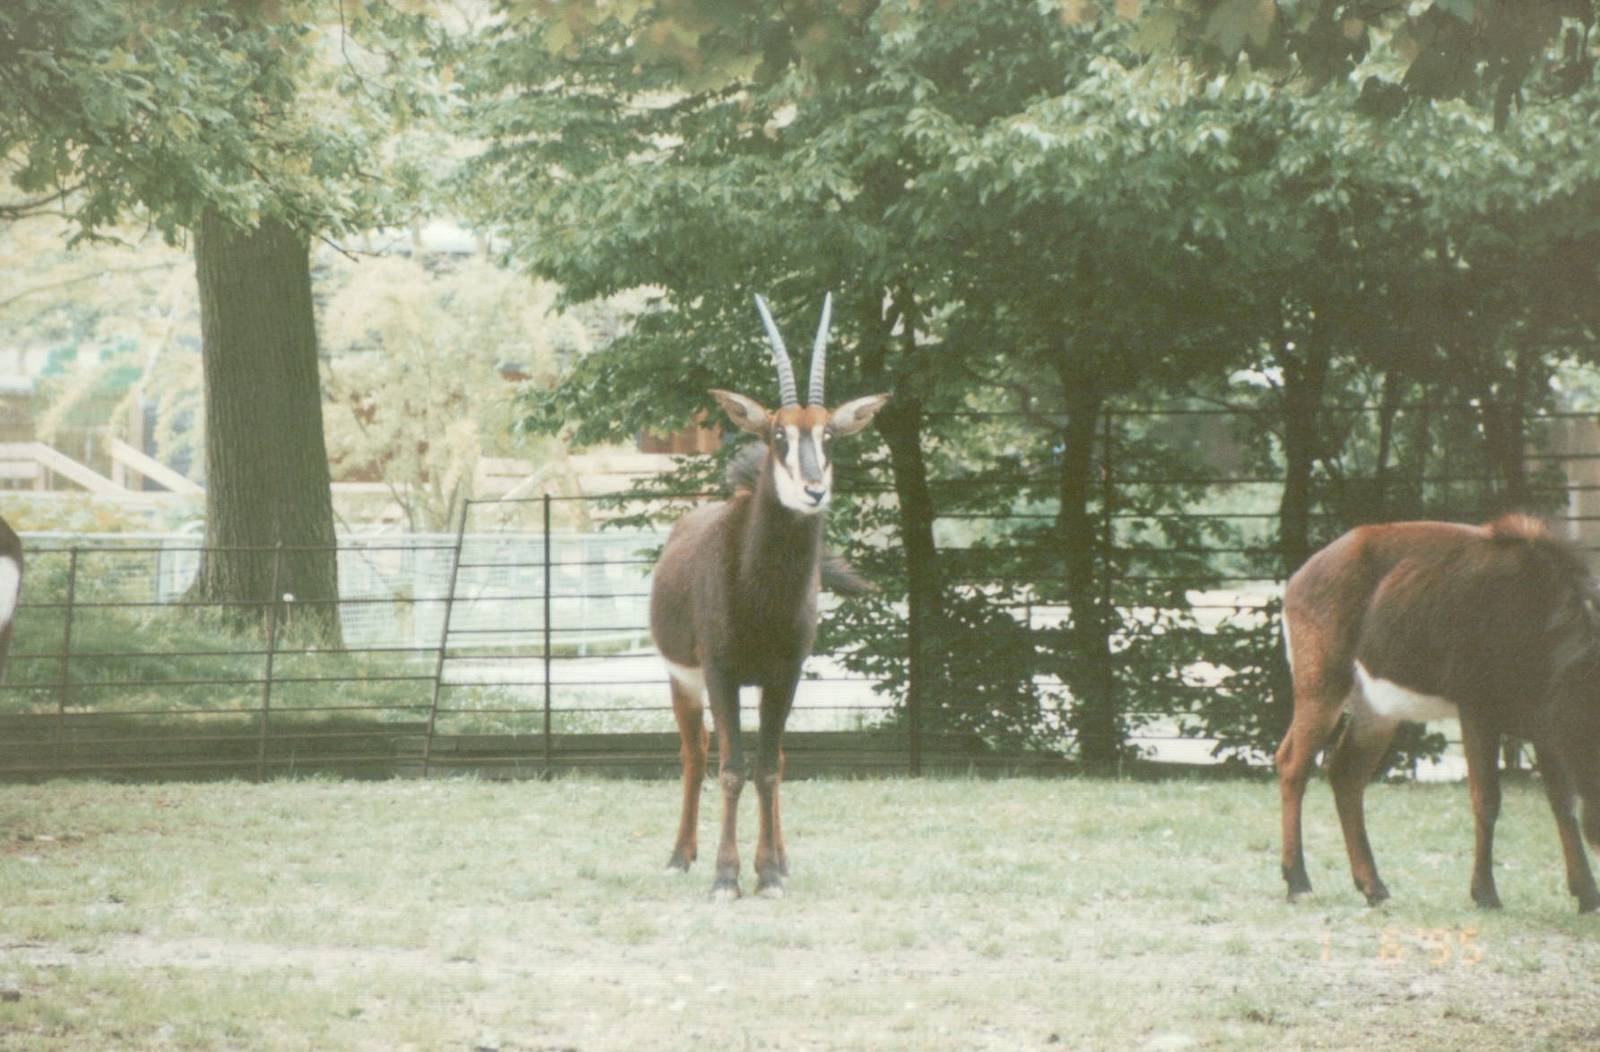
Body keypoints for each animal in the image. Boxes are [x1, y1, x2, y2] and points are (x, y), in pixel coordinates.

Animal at [650, 294, 886, 899]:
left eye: (828, 437)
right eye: (778, 435)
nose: (815, 491)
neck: (760, 590)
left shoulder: (785, 673)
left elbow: (769, 765)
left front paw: (771, 872)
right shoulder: (722, 672)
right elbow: (732, 767)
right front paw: (726, 877)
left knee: (767, 756)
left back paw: (779, 858)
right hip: (684, 680)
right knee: (696, 755)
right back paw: (679, 856)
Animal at [1277, 515, 1600, 912]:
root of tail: (1299, 578)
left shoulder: (1545, 728)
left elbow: (1561, 802)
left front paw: (1587, 894)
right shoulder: (1477, 711)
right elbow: (1487, 799)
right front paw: (1485, 893)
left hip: (1375, 713)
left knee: (1345, 775)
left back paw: (1374, 887)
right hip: (1322, 687)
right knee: (1293, 765)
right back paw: (1298, 883)